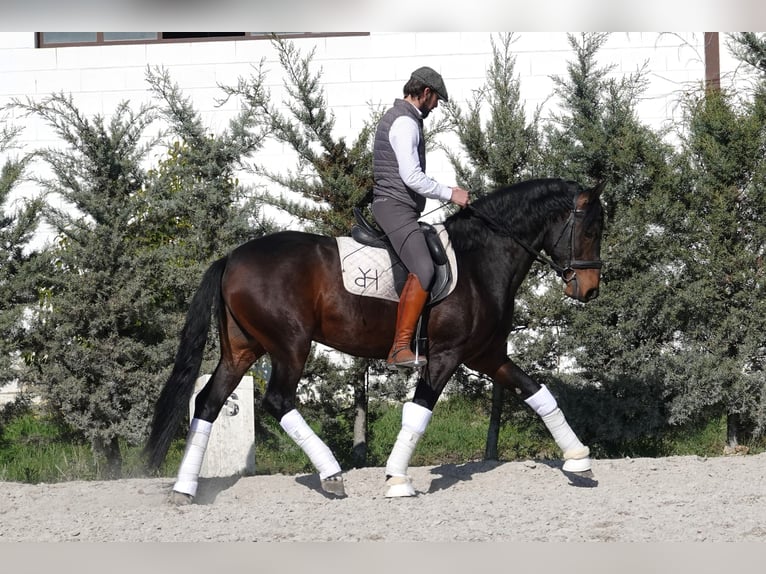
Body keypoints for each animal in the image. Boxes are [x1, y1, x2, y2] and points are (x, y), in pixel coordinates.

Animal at [145, 177, 605, 503]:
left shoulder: (488, 354)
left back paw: (185, 489)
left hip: (242, 350)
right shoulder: (447, 355)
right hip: (290, 345)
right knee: (277, 400)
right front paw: (397, 479)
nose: (589, 290)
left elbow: (539, 394)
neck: (480, 258)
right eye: (590, 230)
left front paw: (579, 461)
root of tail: (231, 257)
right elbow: (419, 412)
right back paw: (330, 474)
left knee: (209, 402)